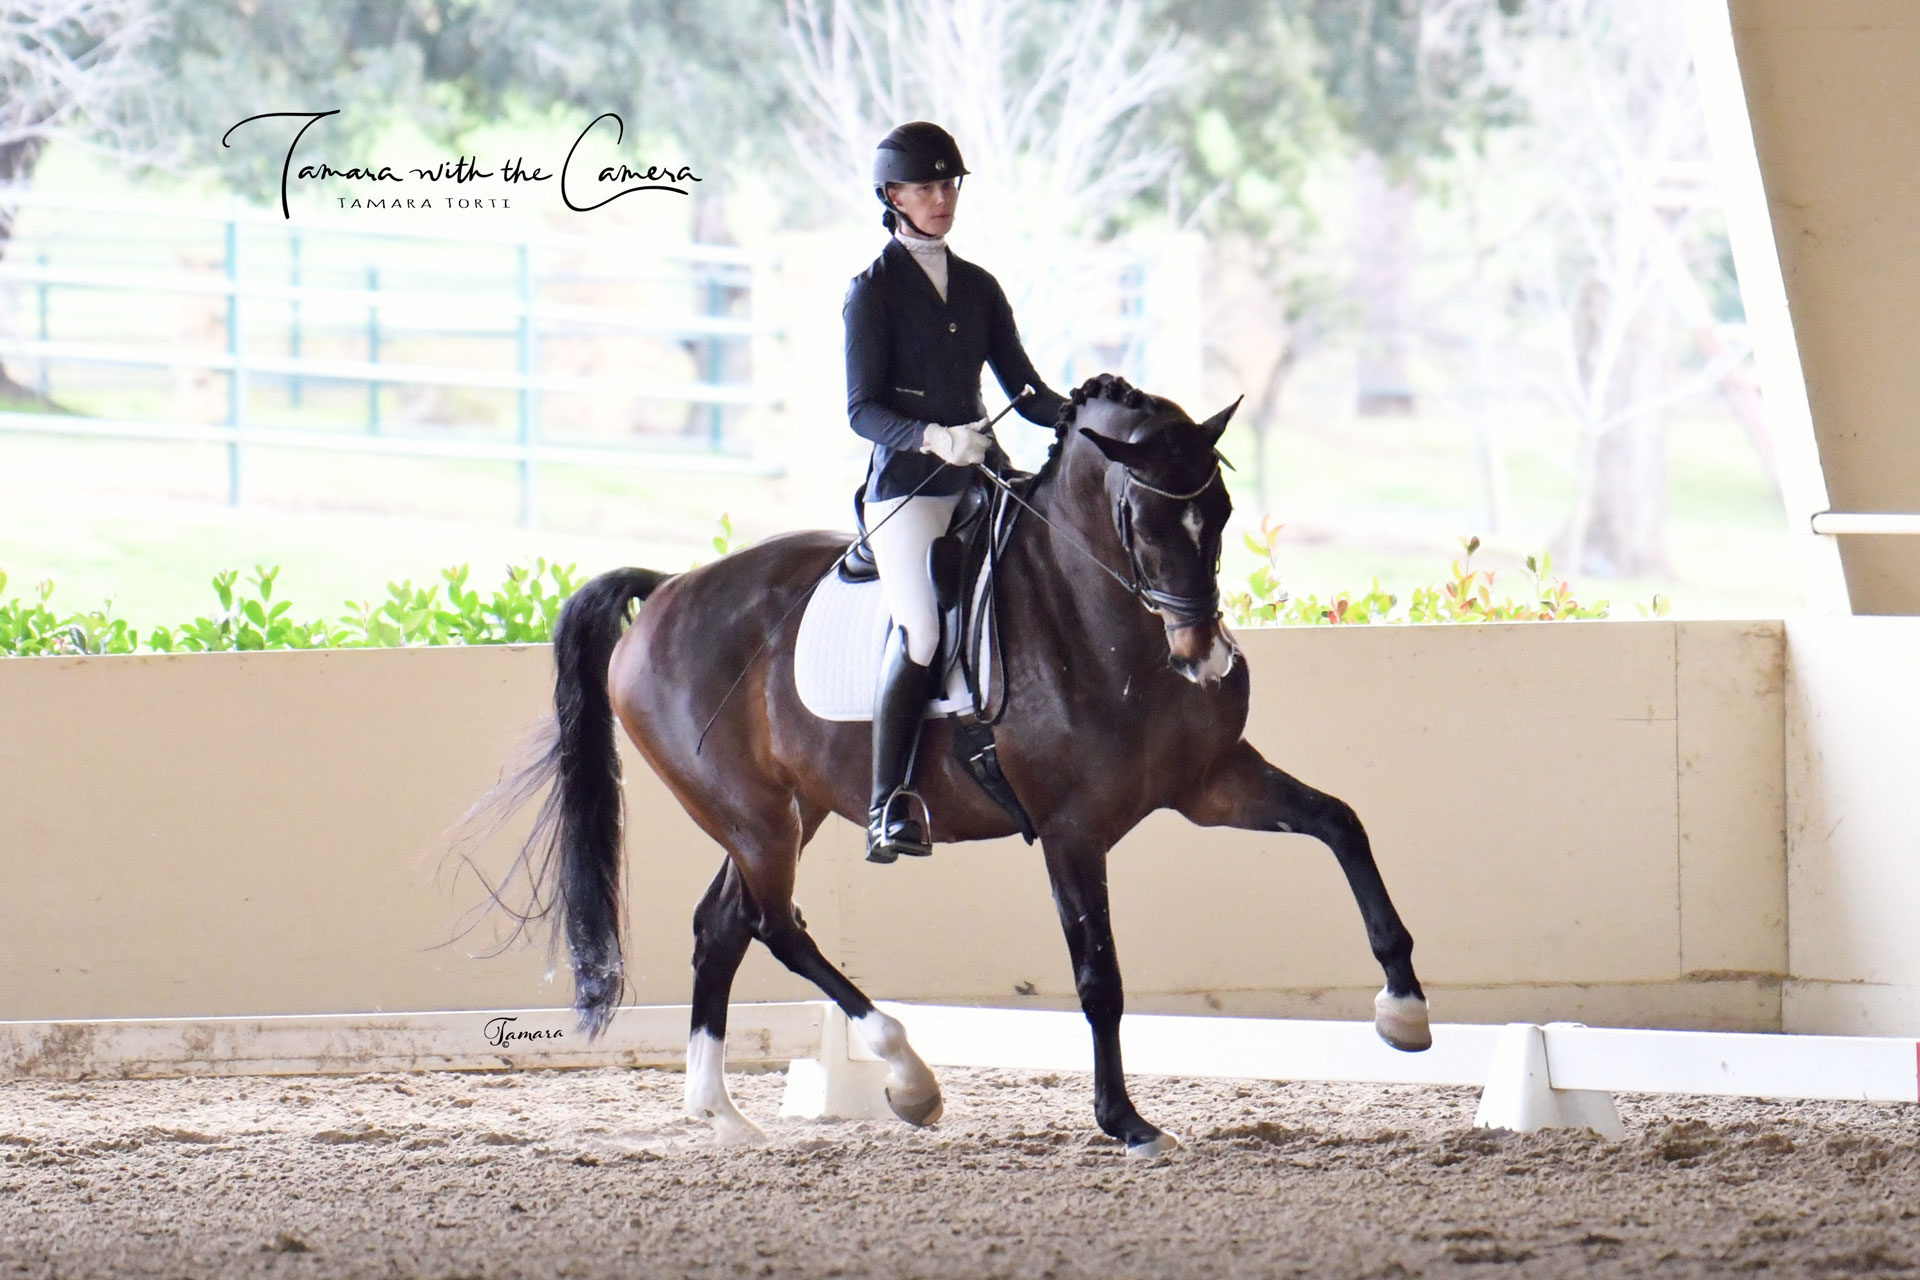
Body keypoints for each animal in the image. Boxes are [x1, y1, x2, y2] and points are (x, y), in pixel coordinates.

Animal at [464, 373, 1431, 1157]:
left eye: (1221, 512)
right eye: (1141, 519)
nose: (1205, 658)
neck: (1099, 622)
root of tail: (665, 590)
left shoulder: (1210, 783)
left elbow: (1340, 823)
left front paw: (1404, 1009)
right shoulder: (1071, 831)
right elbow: (1100, 976)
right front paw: (1126, 1122)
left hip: (789, 811)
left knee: (722, 925)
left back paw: (724, 1115)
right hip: (753, 815)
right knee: (775, 925)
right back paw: (906, 1076)